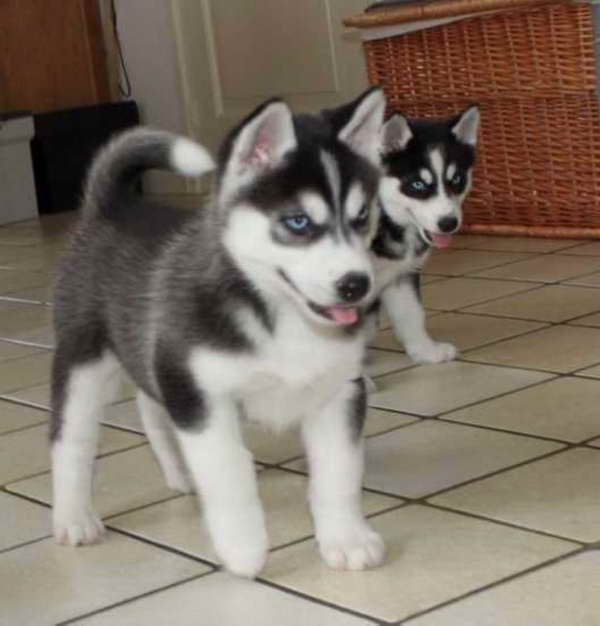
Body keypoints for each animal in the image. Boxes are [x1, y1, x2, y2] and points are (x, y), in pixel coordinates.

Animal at [370, 106, 482, 360]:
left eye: (456, 179)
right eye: (418, 185)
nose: (448, 223)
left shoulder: (401, 272)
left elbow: (411, 313)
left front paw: (424, 350)